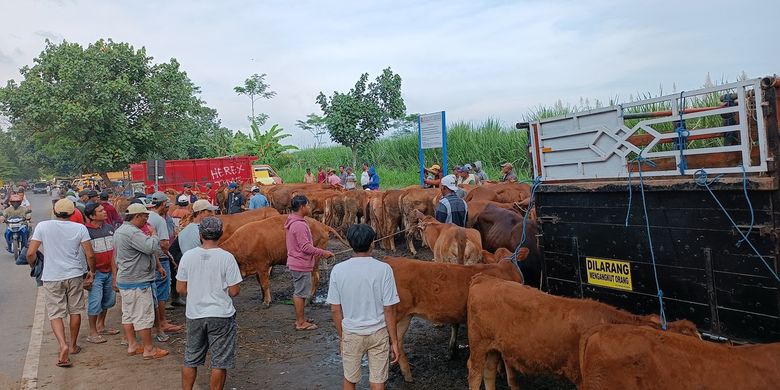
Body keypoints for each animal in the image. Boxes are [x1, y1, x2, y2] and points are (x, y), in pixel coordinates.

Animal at [216, 215, 344, 306]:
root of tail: (322, 225)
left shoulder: (262, 265)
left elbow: (265, 284)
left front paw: (267, 301)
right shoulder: (257, 268)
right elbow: (260, 284)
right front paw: (263, 298)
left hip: (314, 258)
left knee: (315, 277)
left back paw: (308, 299)